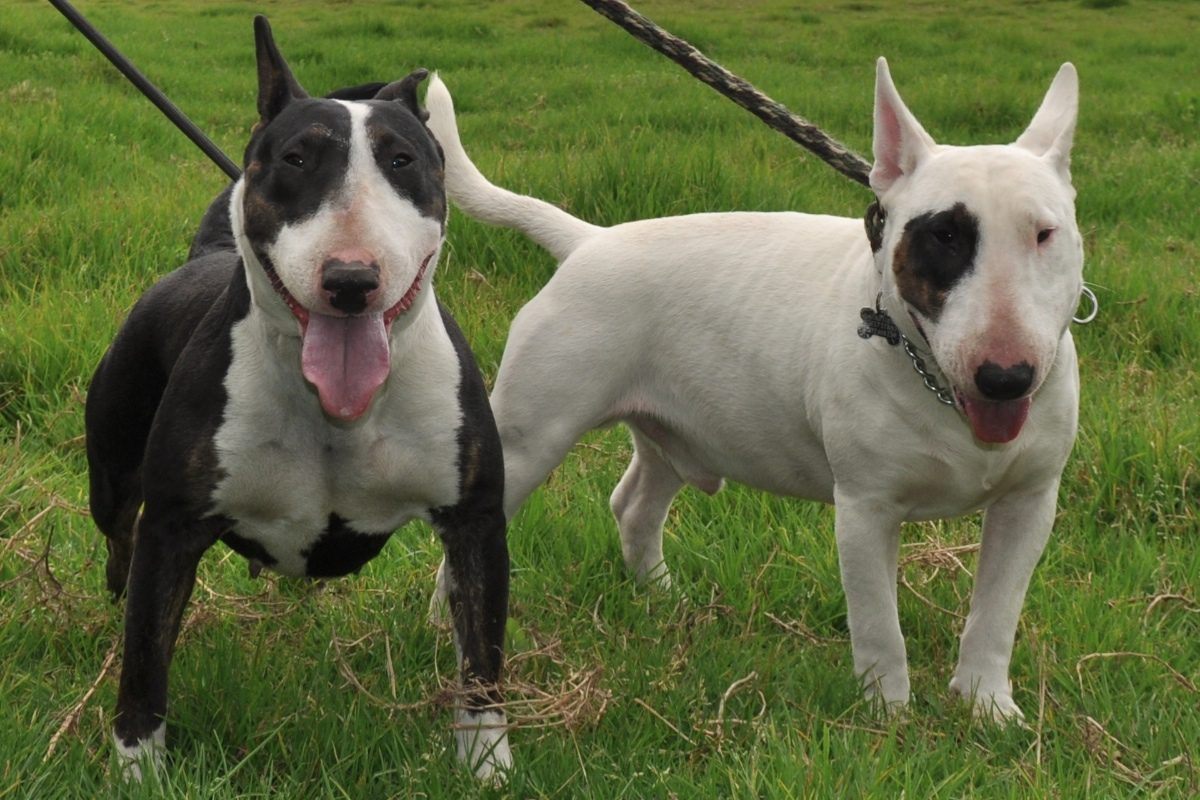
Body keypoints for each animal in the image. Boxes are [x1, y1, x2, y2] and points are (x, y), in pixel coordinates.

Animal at [85, 17, 511, 782]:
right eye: (294, 158)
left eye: (403, 161)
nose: (350, 280)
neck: (334, 410)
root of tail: (205, 256)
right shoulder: (171, 529)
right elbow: (145, 662)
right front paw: (136, 770)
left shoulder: (477, 521)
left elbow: (482, 660)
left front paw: (488, 767)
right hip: (113, 471)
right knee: (119, 540)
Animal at [427, 56, 1084, 719]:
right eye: (944, 236)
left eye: (1044, 234)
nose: (1006, 378)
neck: (941, 391)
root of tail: (589, 240)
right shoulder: (866, 507)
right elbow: (879, 625)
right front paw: (889, 716)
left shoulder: (1029, 503)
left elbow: (997, 613)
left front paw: (987, 706)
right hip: (527, 437)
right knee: (471, 541)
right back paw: (442, 629)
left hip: (675, 430)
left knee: (635, 504)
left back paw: (662, 597)